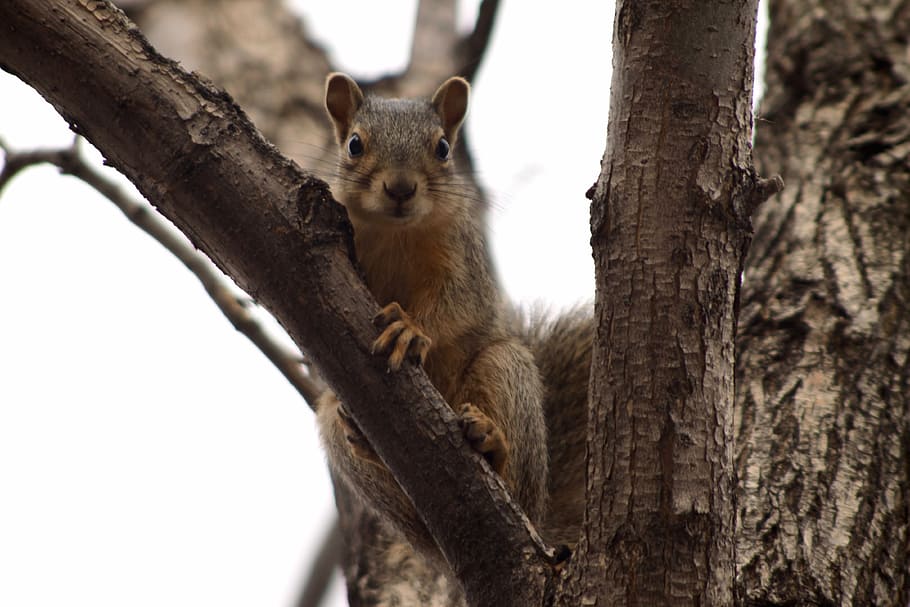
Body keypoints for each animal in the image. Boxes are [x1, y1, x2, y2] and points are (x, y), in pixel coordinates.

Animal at [315, 73, 553, 566]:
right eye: (354, 144)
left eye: (443, 148)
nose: (401, 188)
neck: (396, 232)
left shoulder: (462, 256)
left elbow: (457, 303)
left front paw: (411, 329)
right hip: (333, 423)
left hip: (505, 367)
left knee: (516, 487)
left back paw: (491, 445)